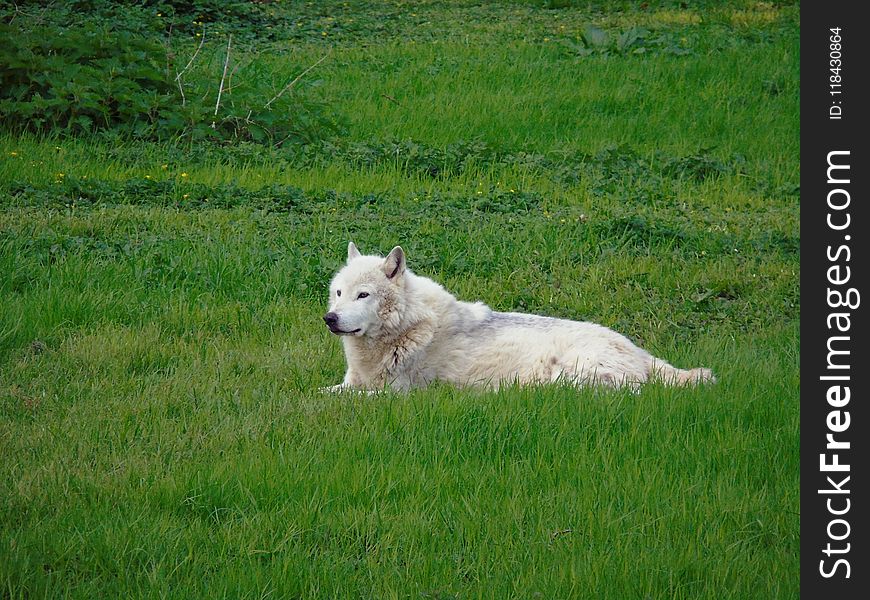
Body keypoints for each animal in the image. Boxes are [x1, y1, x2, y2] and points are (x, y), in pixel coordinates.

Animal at [324, 241, 720, 392]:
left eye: (364, 295)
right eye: (339, 293)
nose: (330, 318)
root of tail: (640, 352)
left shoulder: (392, 393)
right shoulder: (354, 383)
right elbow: (322, 392)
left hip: (569, 374)